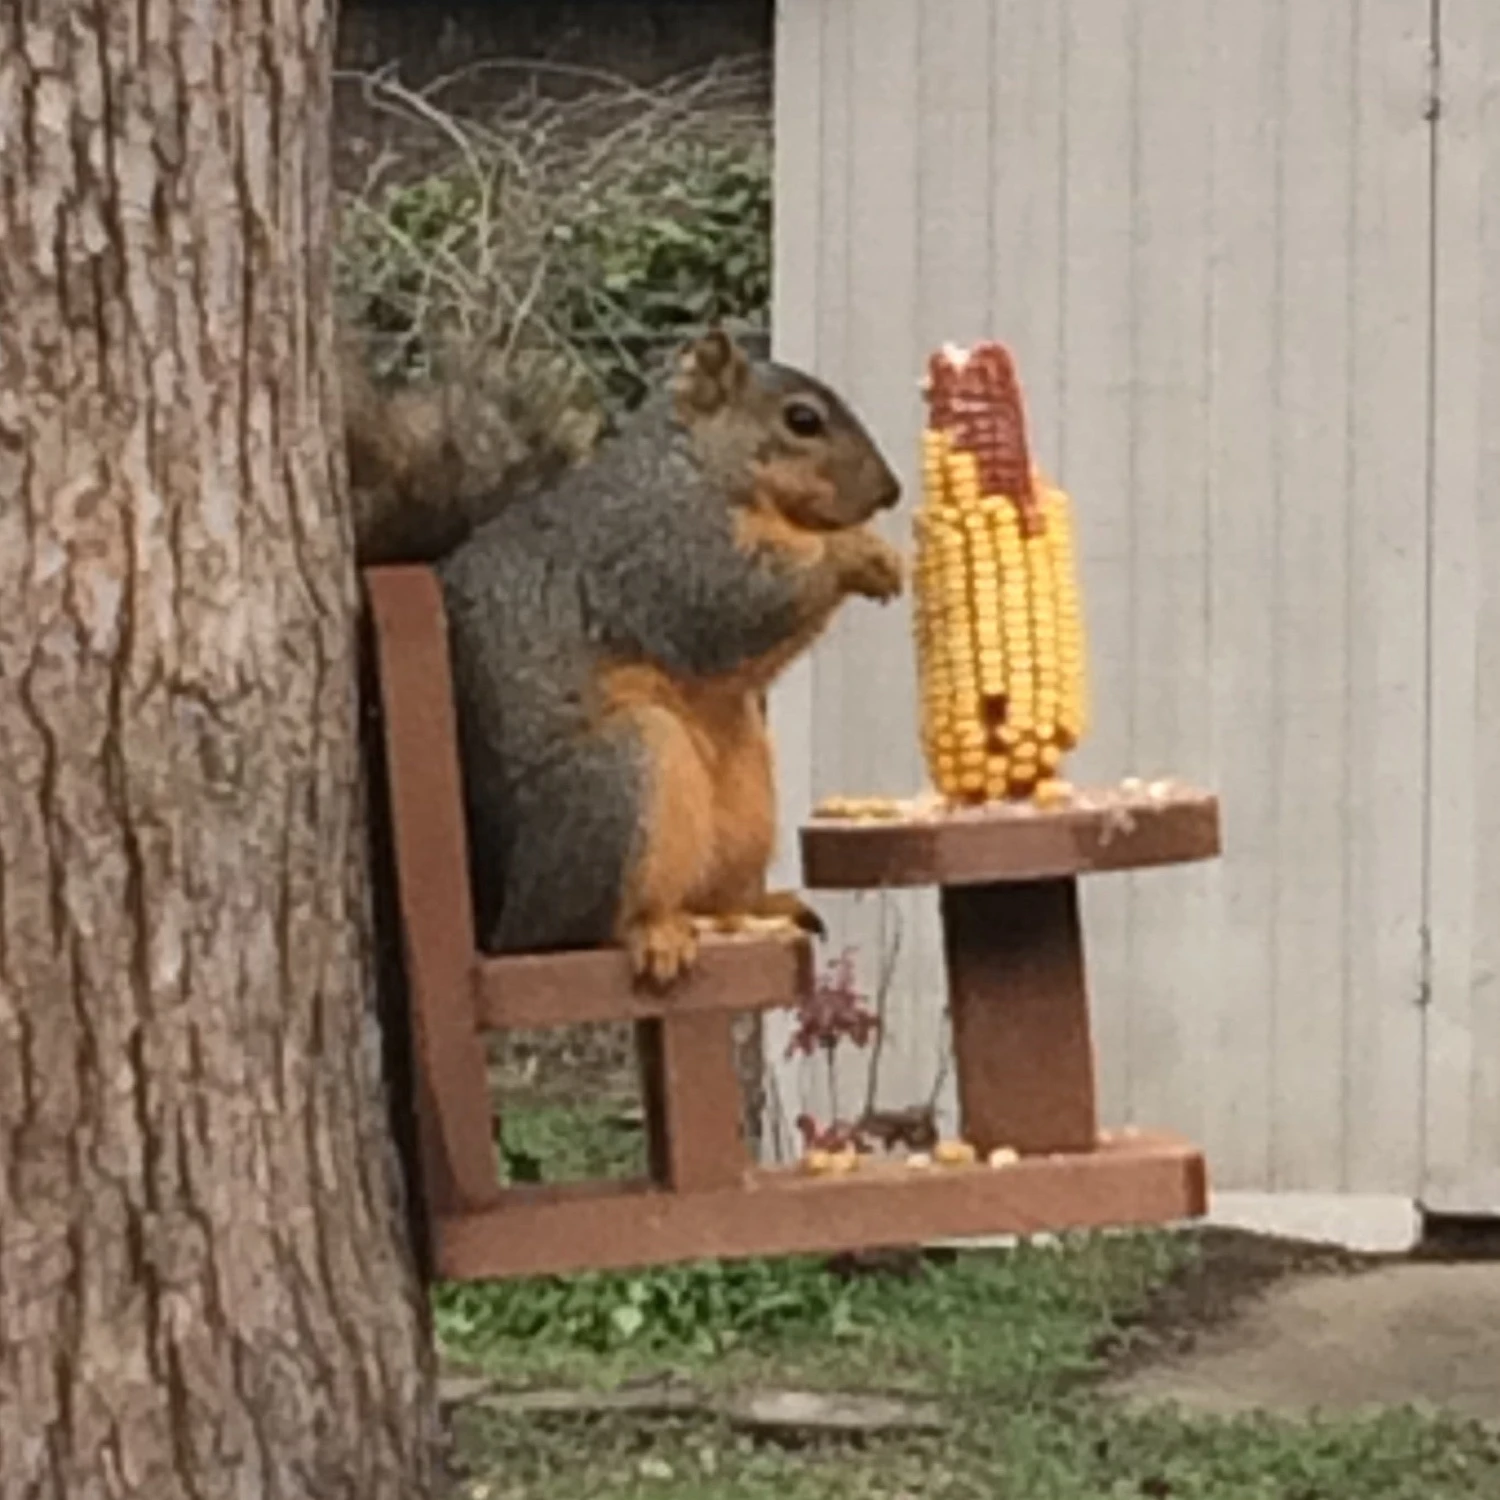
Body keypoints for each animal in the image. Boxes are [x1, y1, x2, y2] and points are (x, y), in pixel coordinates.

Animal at [430, 328, 906, 988]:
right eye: (802, 420)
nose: (891, 492)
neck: (696, 464)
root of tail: (498, 924)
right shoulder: (663, 547)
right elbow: (736, 603)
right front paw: (853, 552)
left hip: (745, 793)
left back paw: (759, 906)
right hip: (620, 777)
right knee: (578, 929)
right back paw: (651, 932)